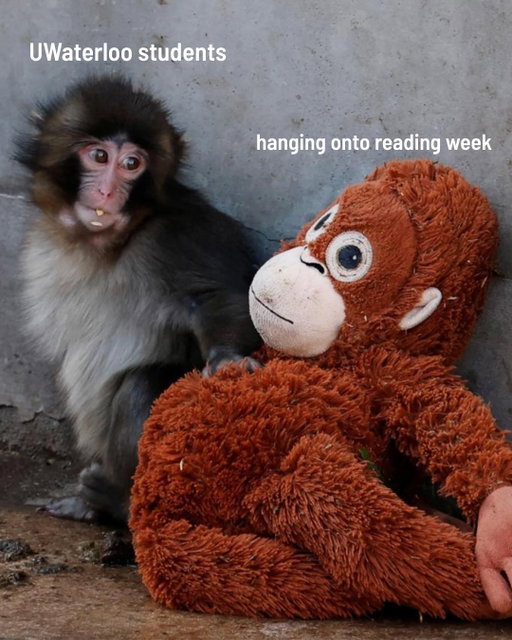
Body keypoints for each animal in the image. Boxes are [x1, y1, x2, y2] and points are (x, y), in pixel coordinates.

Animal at [15, 75, 261, 524]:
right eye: (99, 156)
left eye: (132, 164)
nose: (108, 190)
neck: (104, 244)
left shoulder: (178, 234)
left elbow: (219, 297)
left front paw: (227, 359)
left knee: (140, 387)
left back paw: (117, 502)